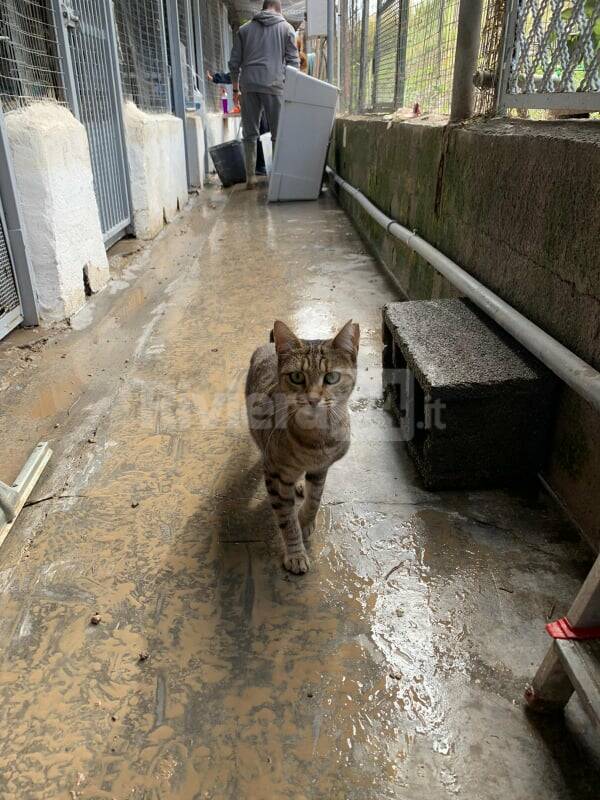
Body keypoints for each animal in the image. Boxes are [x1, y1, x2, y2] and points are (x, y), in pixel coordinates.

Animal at [245, 318, 358, 576]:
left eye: (331, 377)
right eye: (296, 376)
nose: (313, 399)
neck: (315, 441)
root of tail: (269, 345)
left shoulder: (322, 467)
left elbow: (315, 498)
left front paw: (306, 520)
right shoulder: (274, 473)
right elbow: (286, 519)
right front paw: (296, 553)